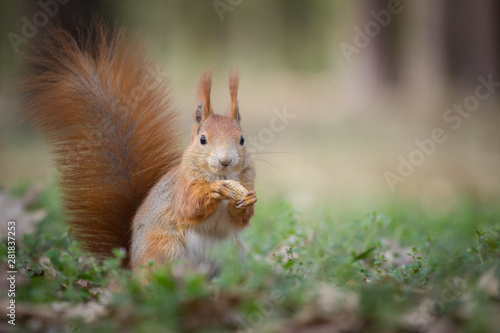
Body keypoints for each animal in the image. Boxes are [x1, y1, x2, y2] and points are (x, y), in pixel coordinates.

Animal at [22, 20, 258, 270]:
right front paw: (214, 191)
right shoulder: (182, 185)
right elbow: (188, 207)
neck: (222, 176)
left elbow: (241, 219)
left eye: (242, 139)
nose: (225, 161)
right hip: (165, 248)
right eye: (203, 139)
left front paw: (250, 199)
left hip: (234, 256)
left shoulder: (246, 179)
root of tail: (131, 265)